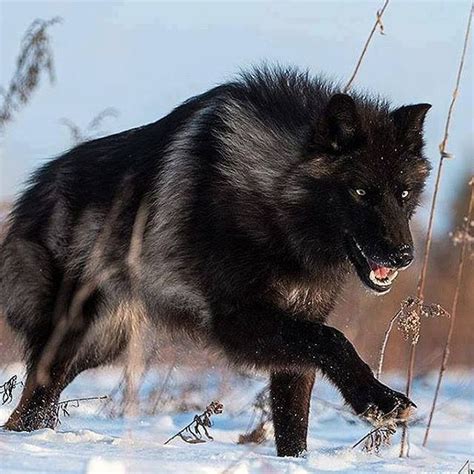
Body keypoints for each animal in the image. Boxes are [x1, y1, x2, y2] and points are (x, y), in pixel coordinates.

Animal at [0, 66, 430, 456]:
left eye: (404, 193)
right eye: (360, 192)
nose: (403, 255)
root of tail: (34, 190)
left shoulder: (299, 328)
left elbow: (294, 421)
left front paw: (298, 462)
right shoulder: (237, 321)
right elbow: (335, 340)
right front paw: (381, 402)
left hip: (101, 344)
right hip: (72, 335)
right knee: (30, 405)